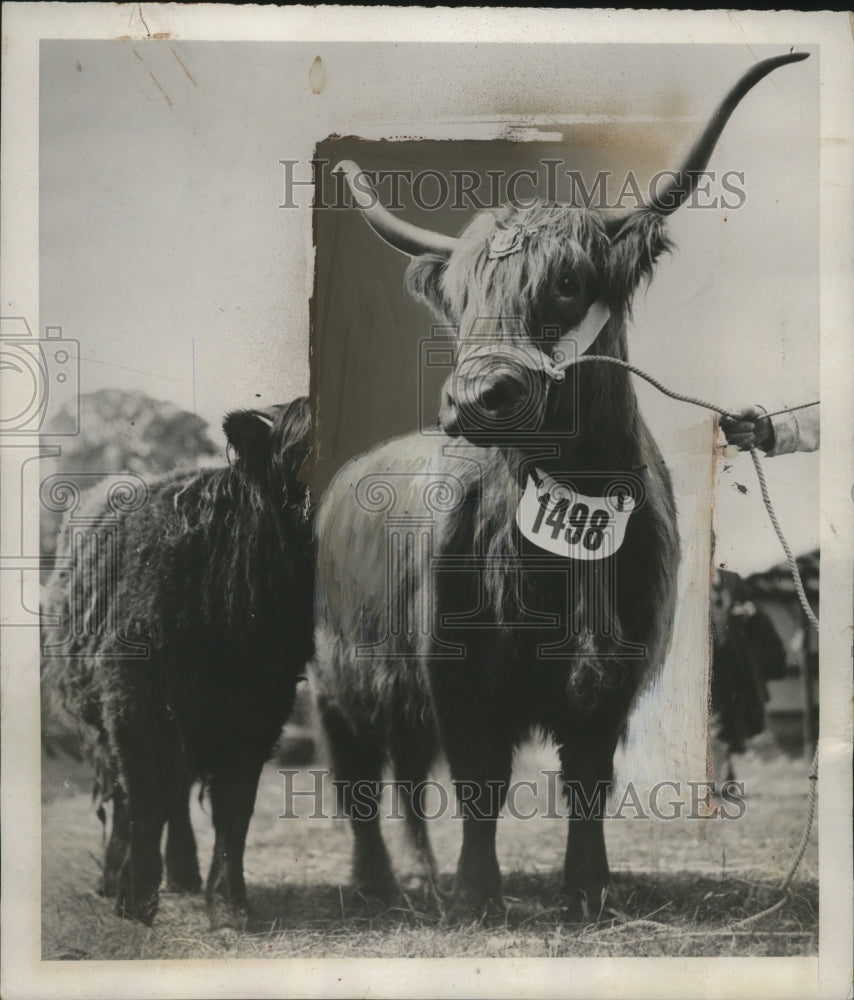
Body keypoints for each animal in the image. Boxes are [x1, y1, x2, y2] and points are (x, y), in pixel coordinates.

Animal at [41, 396, 314, 928]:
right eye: (298, 452)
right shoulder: (134, 699)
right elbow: (144, 799)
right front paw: (134, 901)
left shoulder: (262, 707)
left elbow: (234, 808)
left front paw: (229, 905)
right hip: (103, 722)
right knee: (128, 794)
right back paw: (114, 879)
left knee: (178, 792)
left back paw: (184, 875)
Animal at [311, 53, 807, 925]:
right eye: (461, 298)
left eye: (570, 282)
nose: (478, 397)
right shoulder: (457, 669)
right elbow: (479, 782)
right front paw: (479, 896)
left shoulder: (617, 671)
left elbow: (587, 782)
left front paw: (587, 890)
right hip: (337, 679)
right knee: (360, 777)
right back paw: (379, 884)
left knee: (405, 776)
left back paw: (422, 875)